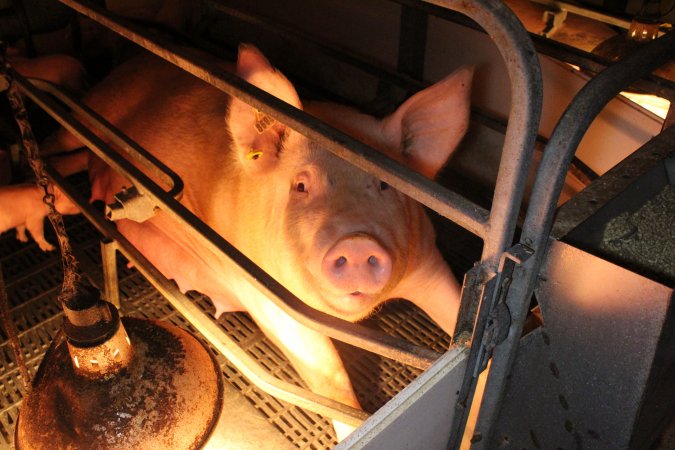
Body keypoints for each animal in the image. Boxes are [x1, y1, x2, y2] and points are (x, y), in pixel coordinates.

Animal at [2, 45, 472, 440]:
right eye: (301, 185)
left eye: (385, 185)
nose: (357, 243)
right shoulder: (269, 297)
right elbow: (329, 374)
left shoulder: (429, 261)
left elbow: (457, 314)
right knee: (55, 143)